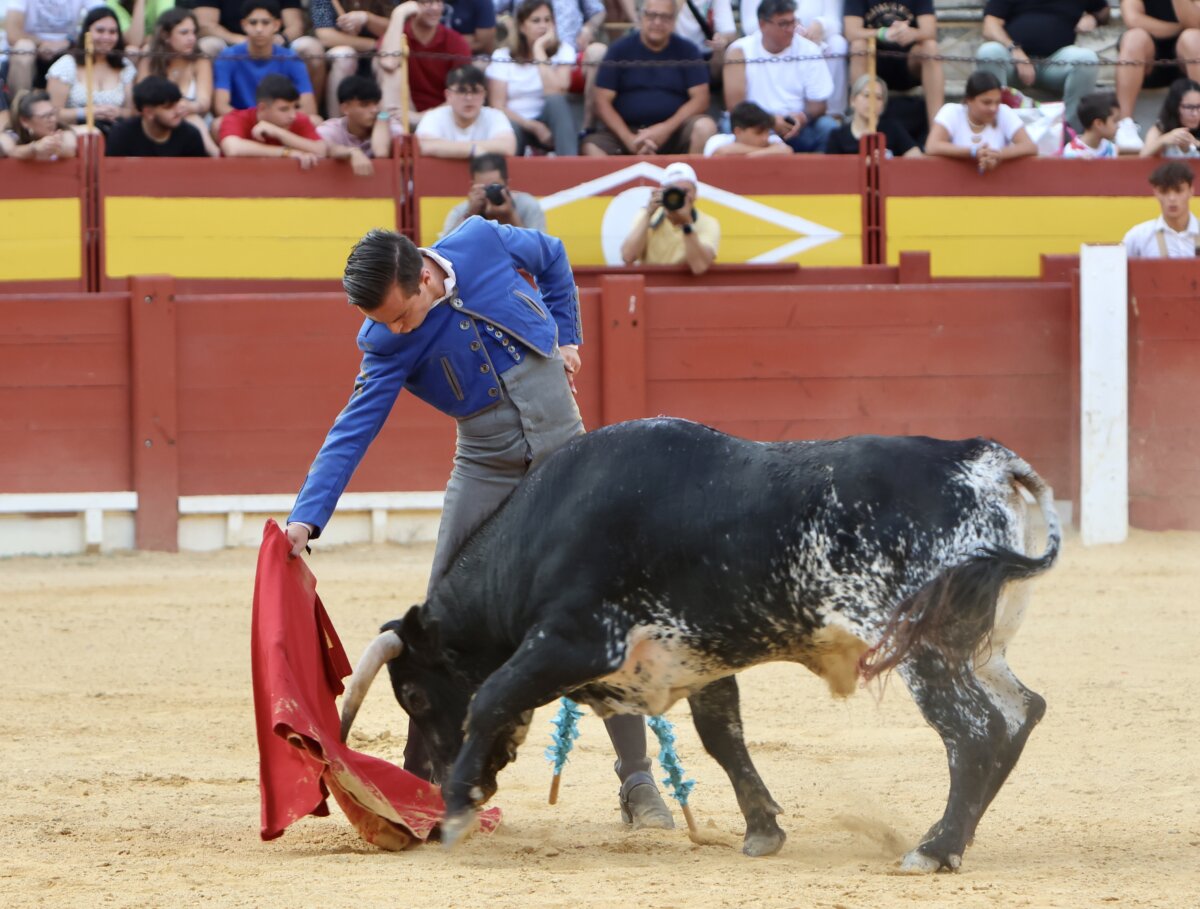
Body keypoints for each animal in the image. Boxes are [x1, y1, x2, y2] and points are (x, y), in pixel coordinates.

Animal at [339, 417, 1061, 871]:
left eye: (414, 694)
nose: (420, 780)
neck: (545, 530)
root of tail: (988, 459)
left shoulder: (577, 639)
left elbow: (490, 695)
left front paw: (458, 811)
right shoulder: (700, 658)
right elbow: (723, 737)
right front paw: (764, 830)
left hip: (924, 651)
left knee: (973, 731)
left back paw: (932, 849)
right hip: (977, 647)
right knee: (1022, 711)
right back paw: (953, 841)